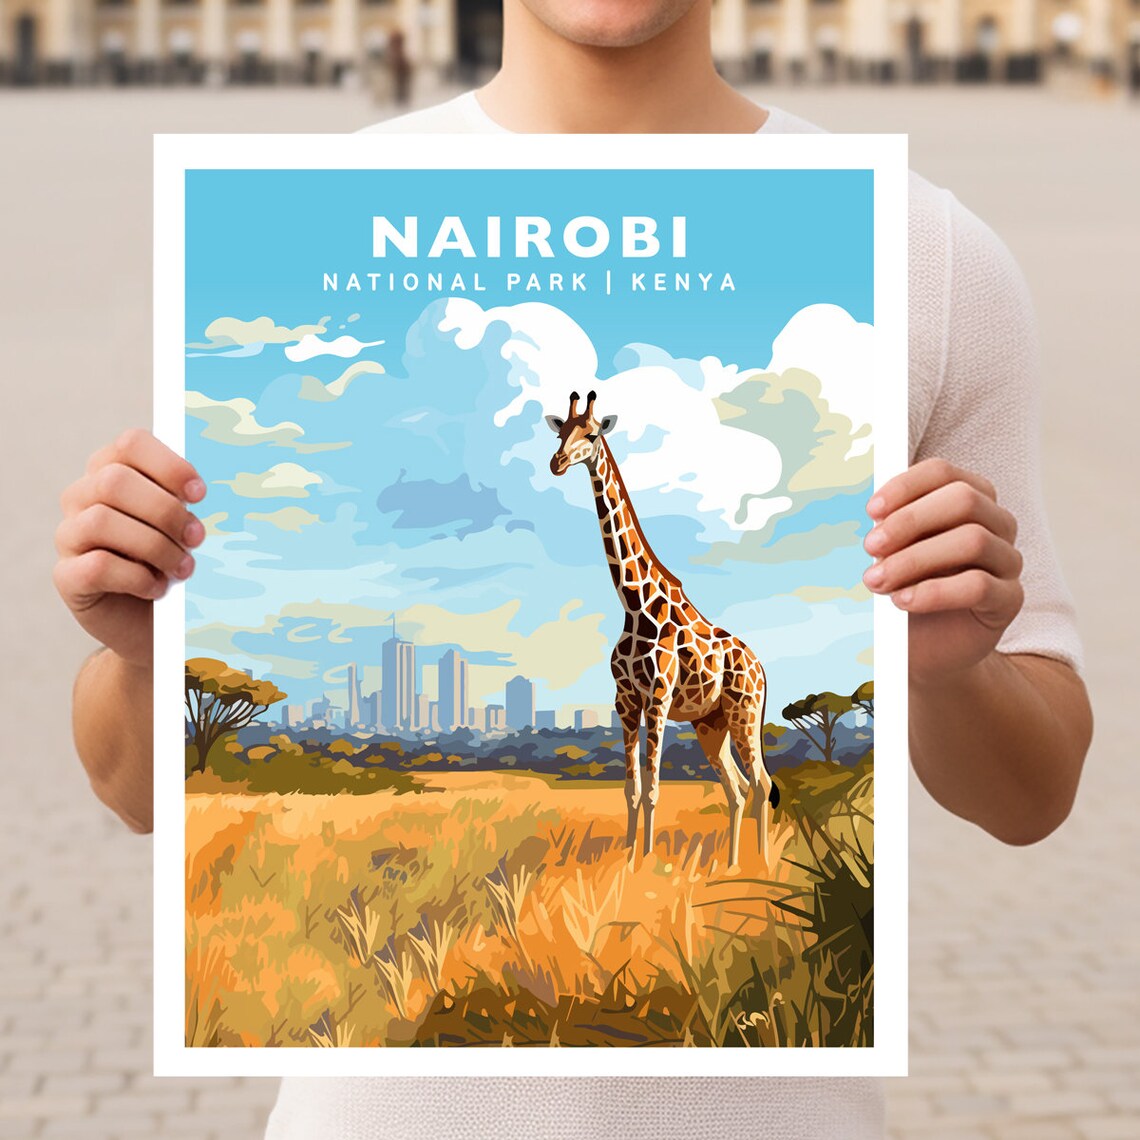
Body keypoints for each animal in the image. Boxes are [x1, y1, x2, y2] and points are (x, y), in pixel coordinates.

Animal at [545, 389, 780, 869]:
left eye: (591, 434)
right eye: (561, 433)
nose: (557, 462)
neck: (634, 603)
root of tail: (762, 667)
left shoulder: (657, 698)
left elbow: (653, 789)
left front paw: (647, 862)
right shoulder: (625, 701)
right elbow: (631, 791)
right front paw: (628, 859)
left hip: (744, 713)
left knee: (762, 783)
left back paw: (762, 866)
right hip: (711, 725)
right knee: (737, 788)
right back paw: (731, 866)